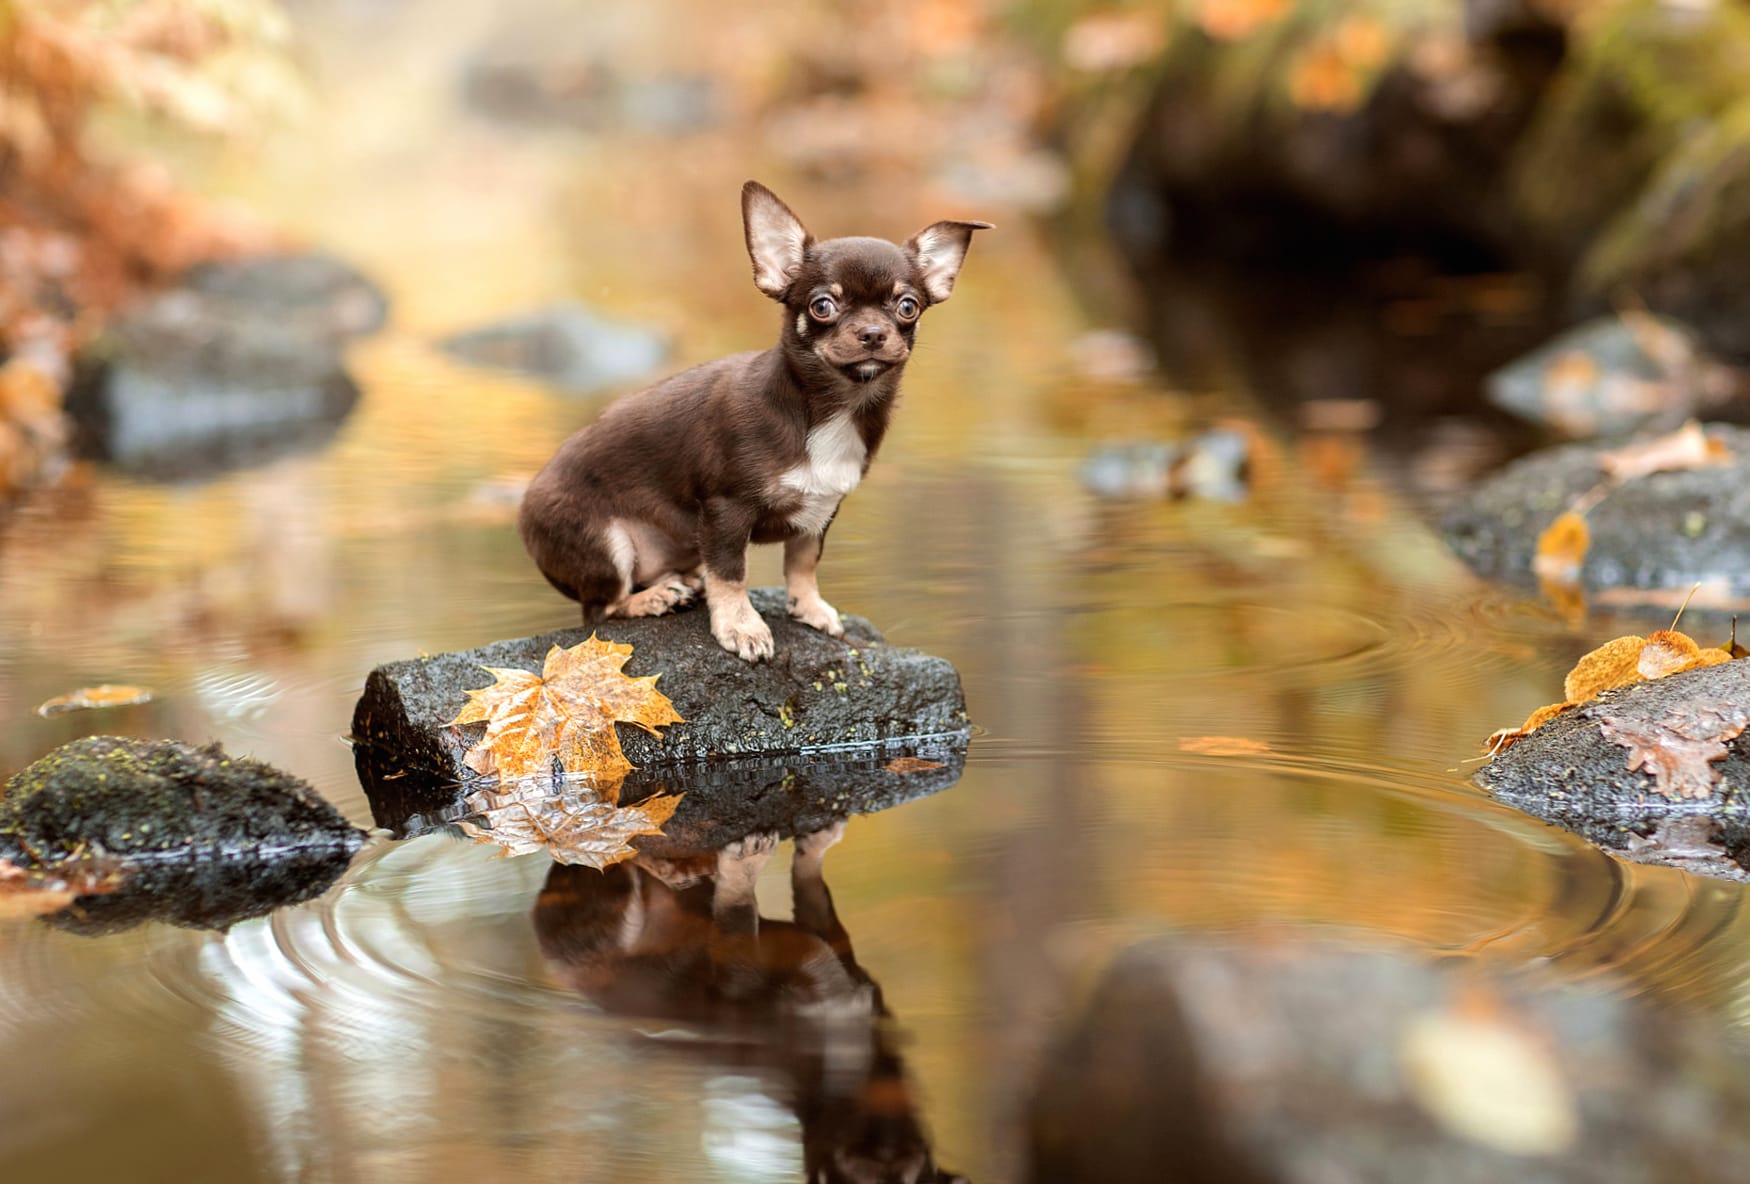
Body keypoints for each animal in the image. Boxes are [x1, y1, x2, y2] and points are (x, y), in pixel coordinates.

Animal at [514, 186, 987, 664]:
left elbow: (803, 560)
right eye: (822, 306)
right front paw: (741, 626)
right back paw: (654, 598)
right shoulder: (726, 510)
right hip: (604, 546)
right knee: (600, 609)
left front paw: (808, 606)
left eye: (907, 306)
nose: (872, 332)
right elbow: (731, 572)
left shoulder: (823, 508)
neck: (832, 409)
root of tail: (524, 511)